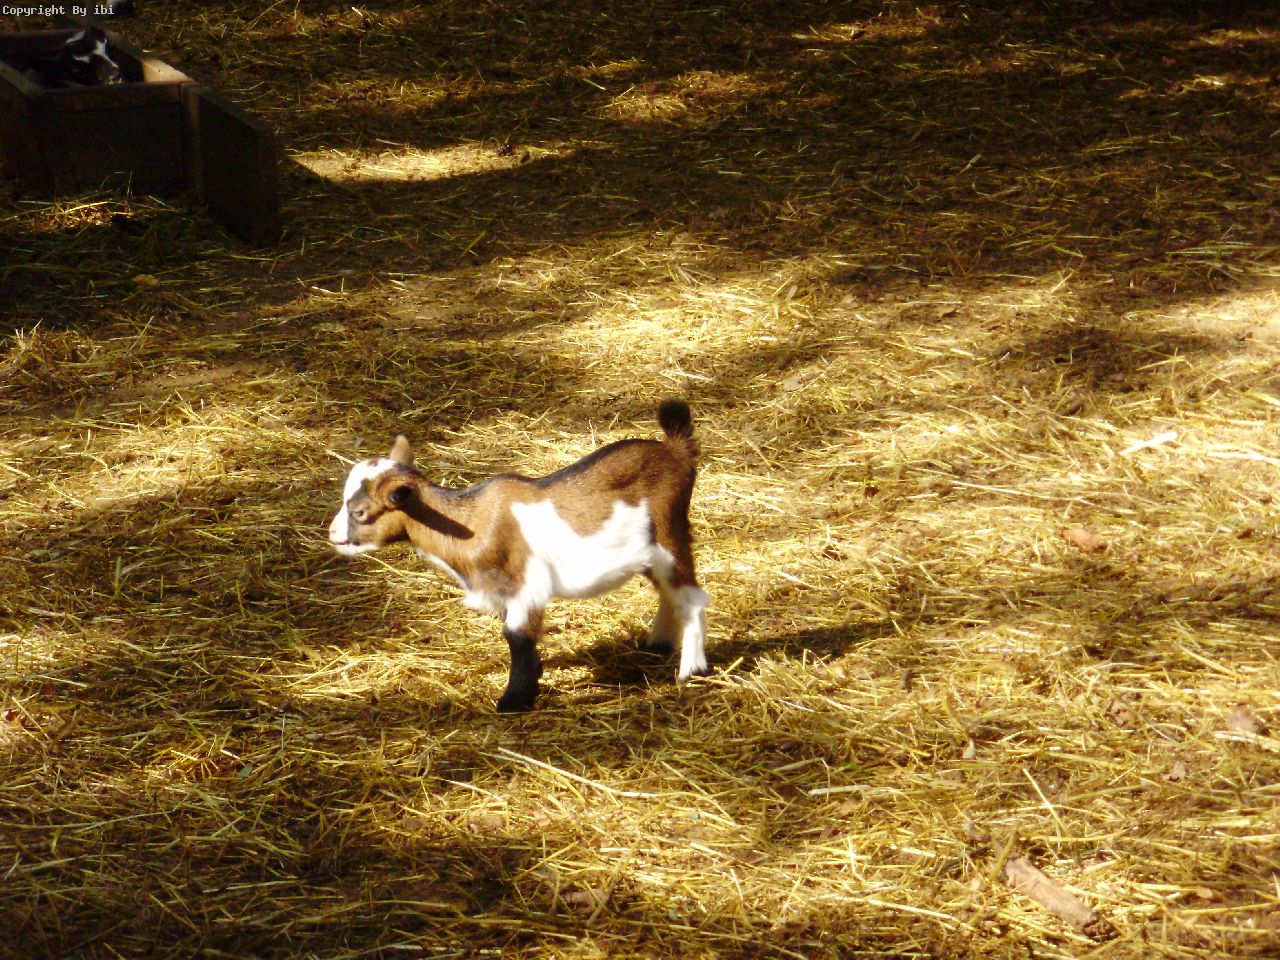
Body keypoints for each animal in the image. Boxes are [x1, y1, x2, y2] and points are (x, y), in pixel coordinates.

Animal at [328, 400, 710, 712]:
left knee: (691, 597)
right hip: (651, 554)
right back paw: (657, 645)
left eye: (360, 512)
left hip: (669, 536)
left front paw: (515, 699)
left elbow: (516, 635)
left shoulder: (527, 585)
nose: (333, 535)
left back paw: (691, 670)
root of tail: (676, 451)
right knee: (670, 593)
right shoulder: (501, 589)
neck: (470, 522)